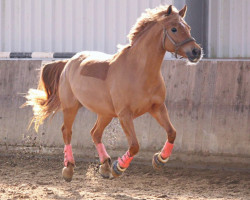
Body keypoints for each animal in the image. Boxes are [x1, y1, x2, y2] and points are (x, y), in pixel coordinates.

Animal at [24, 5, 202, 181]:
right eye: (174, 29)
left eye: (188, 27)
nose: (196, 51)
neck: (138, 71)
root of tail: (69, 62)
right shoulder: (124, 115)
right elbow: (135, 145)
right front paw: (119, 167)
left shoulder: (157, 107)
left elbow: (172, 133)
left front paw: (159, 159)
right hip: (71, 107)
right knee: (67, 132)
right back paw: (69, 168)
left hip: (105, 113)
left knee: (95, 133)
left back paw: (104, 166)